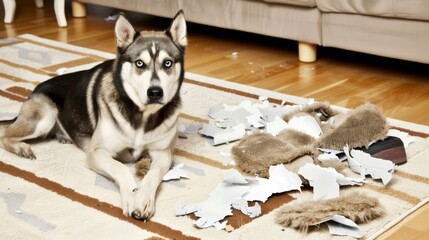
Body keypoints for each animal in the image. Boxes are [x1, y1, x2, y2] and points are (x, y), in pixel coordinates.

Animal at [0, 10, 187, 219]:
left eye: (167, 63)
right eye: (139, 63)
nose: (155, 92)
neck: (142, 115)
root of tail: (34, 91)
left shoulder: (163, 154)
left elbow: (152, 174)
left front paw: (143, 199)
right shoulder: (97, 152)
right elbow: (121, 167)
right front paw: (131, 196)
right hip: (45, 116)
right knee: (5, 135)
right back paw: (21, 148)